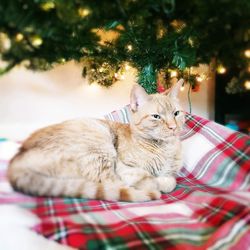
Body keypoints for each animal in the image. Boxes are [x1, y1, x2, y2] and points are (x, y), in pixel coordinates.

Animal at [7, 79, 186, 202]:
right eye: (156, 117)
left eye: (176, 113)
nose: (172, 127)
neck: (165, 149)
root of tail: (17, 158)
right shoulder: (124, 168)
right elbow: (154, 180)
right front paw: (157, 183)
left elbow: (171, 180)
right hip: (101, 148)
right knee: (111, 185)